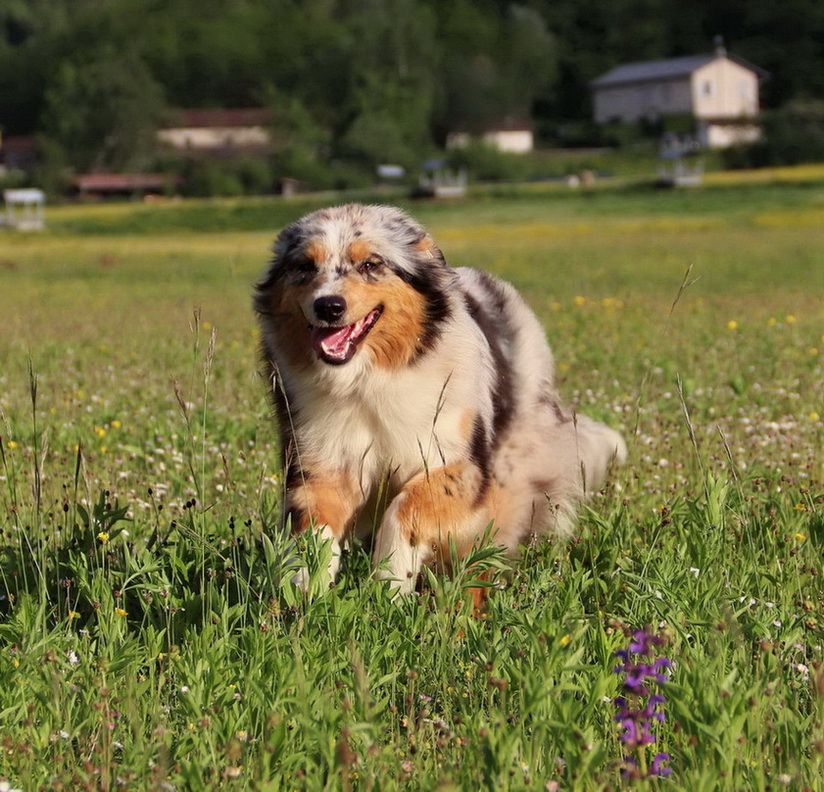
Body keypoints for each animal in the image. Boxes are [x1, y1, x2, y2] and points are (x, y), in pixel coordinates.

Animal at [254, 204, 628, 592]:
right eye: (305, 266)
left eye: (371, 264)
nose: (328, 306)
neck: (368, 380)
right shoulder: (320, 460)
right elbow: (314, 529)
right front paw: (304, 589)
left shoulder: (458, 463)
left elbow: (406, 506)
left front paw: (389, 582)